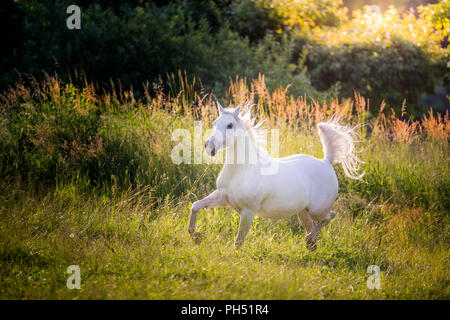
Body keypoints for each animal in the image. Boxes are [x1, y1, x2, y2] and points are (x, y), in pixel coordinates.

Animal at [188, 102, 364, 250]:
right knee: (314, 226)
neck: (242, 170)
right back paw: (311, 245)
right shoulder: (222, 198)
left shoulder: (248, 212)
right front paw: (196, 236)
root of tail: (326, 161)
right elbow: (195, 206)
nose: (209, 146)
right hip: (303, 212)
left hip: (317, 209)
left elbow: (238, 242)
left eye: (230, 125)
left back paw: (308, 240)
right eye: (215, 123)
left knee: (329, 217)